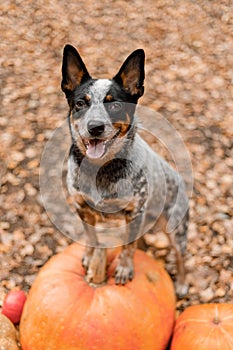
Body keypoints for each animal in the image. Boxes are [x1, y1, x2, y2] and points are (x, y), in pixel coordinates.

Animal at [61, 43, 188, 296]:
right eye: (80, 103)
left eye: (116, 104)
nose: (95, 127)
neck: (101, 170)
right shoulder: (82, 208)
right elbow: (91, 235)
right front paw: (90, 256)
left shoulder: (134, 212)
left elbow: (129, 246)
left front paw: (124, 268)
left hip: (176, 229)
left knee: (180, 257)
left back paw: (181, 284)